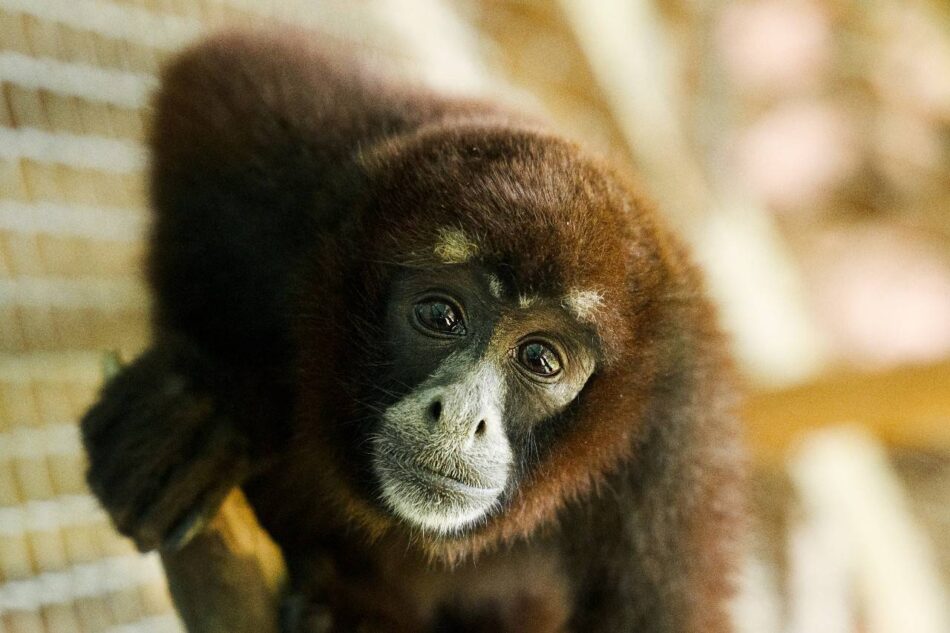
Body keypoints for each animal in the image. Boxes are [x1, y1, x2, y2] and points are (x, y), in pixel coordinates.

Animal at [82, 29, 748, 632]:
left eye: (540, 359)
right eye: (440, 317)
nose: (460, 416)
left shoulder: (676, 439)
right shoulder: (305, 156)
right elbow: (215, 73)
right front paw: (221, 401)